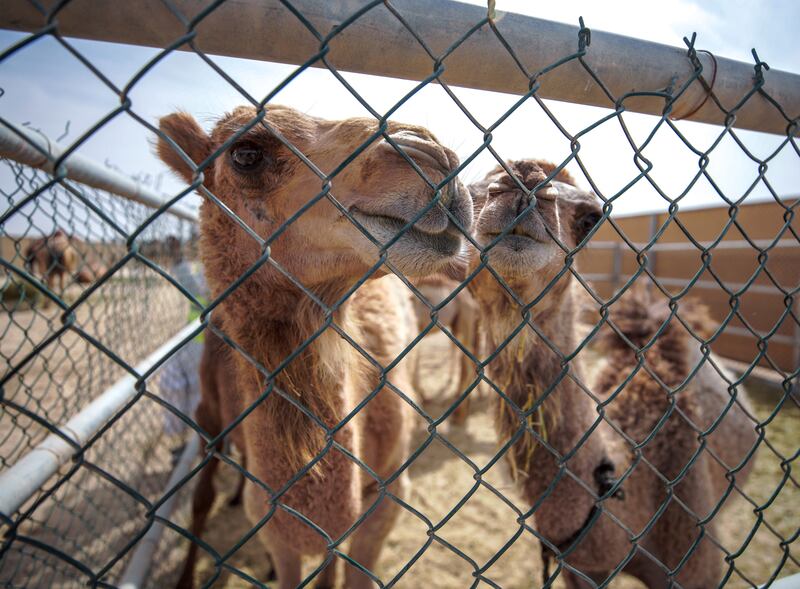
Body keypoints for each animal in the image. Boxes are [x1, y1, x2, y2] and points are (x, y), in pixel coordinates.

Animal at [155, 107, 476, 588]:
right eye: (245, 154)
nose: (434, 157)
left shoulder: (386, 497)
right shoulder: (271, 521)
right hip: (209, 407)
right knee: (203, 494)